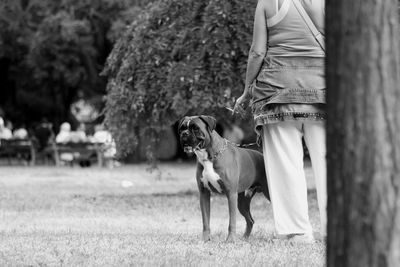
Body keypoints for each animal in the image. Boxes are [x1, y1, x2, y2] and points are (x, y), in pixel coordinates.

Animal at [177, 115, 268, 243]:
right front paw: (205, 240)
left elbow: (232, 221)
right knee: (250, 220)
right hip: (242, 202)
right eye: (182, 128)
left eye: (195, 128)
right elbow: (205, 221)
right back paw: (244, 239)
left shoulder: (231, 194)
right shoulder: (204, 194)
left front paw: (230, 240)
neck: (209, 157)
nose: (184, 133)